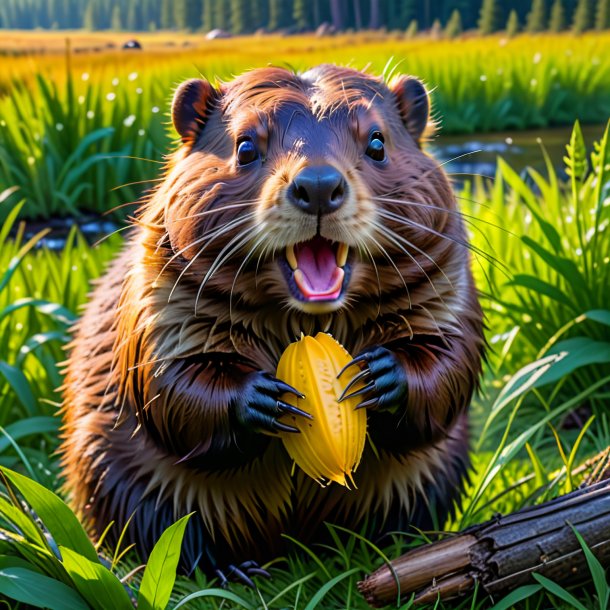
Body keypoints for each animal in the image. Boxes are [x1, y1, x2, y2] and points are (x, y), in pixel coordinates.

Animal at [60, 63, 480, 580]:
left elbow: (450, 359)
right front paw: (268, 398)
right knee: (169, 533)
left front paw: (374, 376)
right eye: (245, 146)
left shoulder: (447, 275)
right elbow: (165, 382)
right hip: (111, 469)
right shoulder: (159, 291)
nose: (317, 186)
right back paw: (232, 569)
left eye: (378, 143)